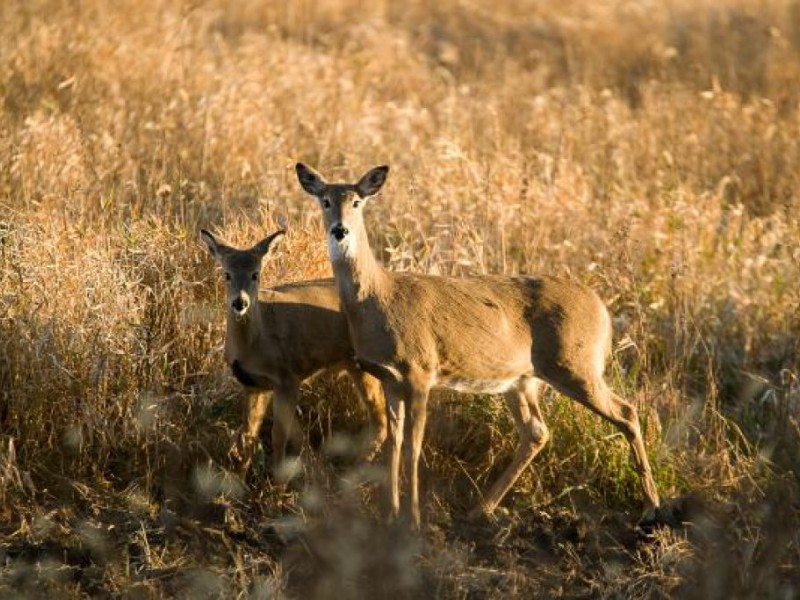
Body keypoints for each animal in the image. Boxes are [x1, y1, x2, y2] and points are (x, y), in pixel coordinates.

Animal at [200, 229, 388, 478]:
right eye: (227, 274)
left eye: (256, 274)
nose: (240, 302)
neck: (256, 345)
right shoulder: (253, 385)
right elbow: (247, 438)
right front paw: (237, 481)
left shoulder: (287, 378)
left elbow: (279, 436)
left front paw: (276, 482)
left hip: (365, 363)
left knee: (382, 419)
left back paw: (355, 472)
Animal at [296, 162, 660, 528]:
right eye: (325, 201)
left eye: (357, 202)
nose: (340, 230)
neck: (379, 297)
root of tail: (602, 309)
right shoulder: (389, 378)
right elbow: (393, 444)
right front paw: (389, 514)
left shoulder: (420, 371)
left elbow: (414, 446)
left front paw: (413, 520)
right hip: (522, 380)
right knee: (537, 431)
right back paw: (481, 509)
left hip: (575, 365)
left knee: (626, 412)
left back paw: (651, 506)